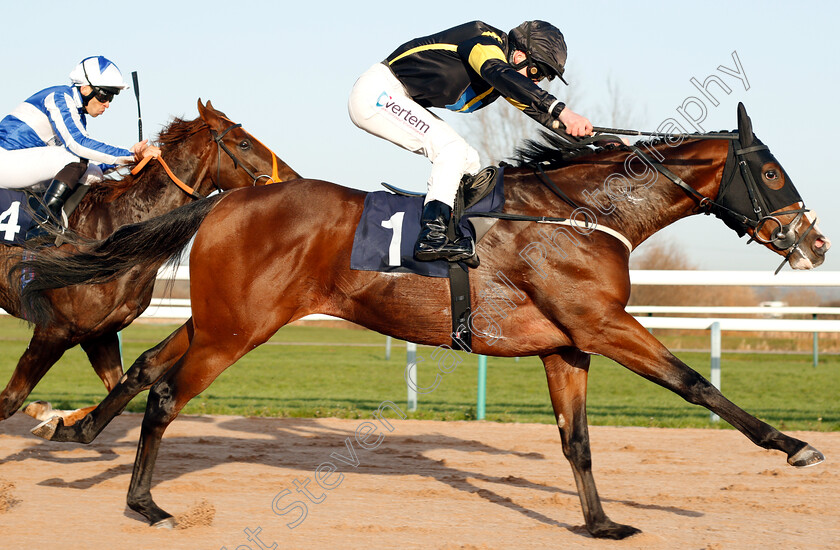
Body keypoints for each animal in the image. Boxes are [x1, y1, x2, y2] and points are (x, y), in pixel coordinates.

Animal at [0, 98, 298, 426]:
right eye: (244, 143)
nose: (293, 179)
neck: (111, 232)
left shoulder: (99, 334)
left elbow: (115, 393)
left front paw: (51, 417)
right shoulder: (53, 331)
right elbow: (9, 400)